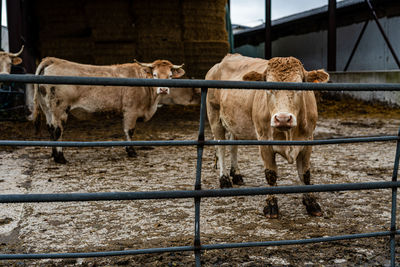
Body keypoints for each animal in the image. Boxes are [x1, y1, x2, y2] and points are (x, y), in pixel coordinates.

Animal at [30, 57, 185, 164]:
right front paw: (131, 151)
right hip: (59, 109)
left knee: (51, 128)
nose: (163, 89)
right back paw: (60, 158)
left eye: (170, 76)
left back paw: (54, 155)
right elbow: (129, 131)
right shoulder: (131, 111)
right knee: (58, 130)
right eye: (155, 75)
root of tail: (52, 60)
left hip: (47, 109)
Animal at [206, 53, 328, 219]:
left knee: (233, 147)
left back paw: (236, 174)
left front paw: (311, 203)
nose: (283, 118)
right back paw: (224, 180)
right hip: (214, 117)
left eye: (299, 85)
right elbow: (271, 174)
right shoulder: (264, 142)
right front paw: (271, 206)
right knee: (220, 147)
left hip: (234, 124)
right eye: (268, 87)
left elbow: (305, 174)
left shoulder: (308, 142)